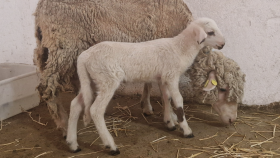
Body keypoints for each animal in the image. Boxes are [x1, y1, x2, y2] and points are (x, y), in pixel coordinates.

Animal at [33, 0, 192, 136]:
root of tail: (40, 8)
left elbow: (149, 82)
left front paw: (147, 107)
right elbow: (165, 92)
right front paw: (171, 117)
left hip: (51, 48)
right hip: (64, 45)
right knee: (47, 87)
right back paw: (63, 125)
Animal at [66, 17, 226, 156]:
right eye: (210, 32)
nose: (223, 44)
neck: (180, 48)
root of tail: (84, 56)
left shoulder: (163, 78)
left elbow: (166, 98)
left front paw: (169, 121)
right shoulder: (171, 76)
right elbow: (178, 101)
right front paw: (186, 129)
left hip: (91, 81)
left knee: (75, 104)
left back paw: (73, 144)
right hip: (107, 79)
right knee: (95, 110)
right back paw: (111, 145)